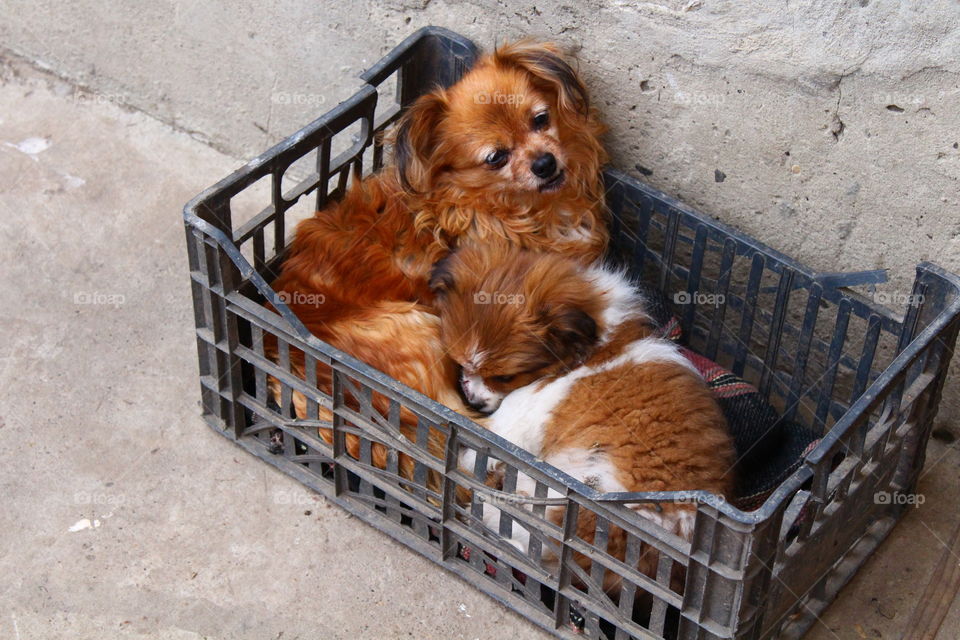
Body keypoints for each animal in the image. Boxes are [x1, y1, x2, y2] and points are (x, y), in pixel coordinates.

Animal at [430, 244, 736, 592]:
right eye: (459, 361)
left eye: (505, 377)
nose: (473, 399)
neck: (594, 345)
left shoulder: (516, 420)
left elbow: (476, 452)